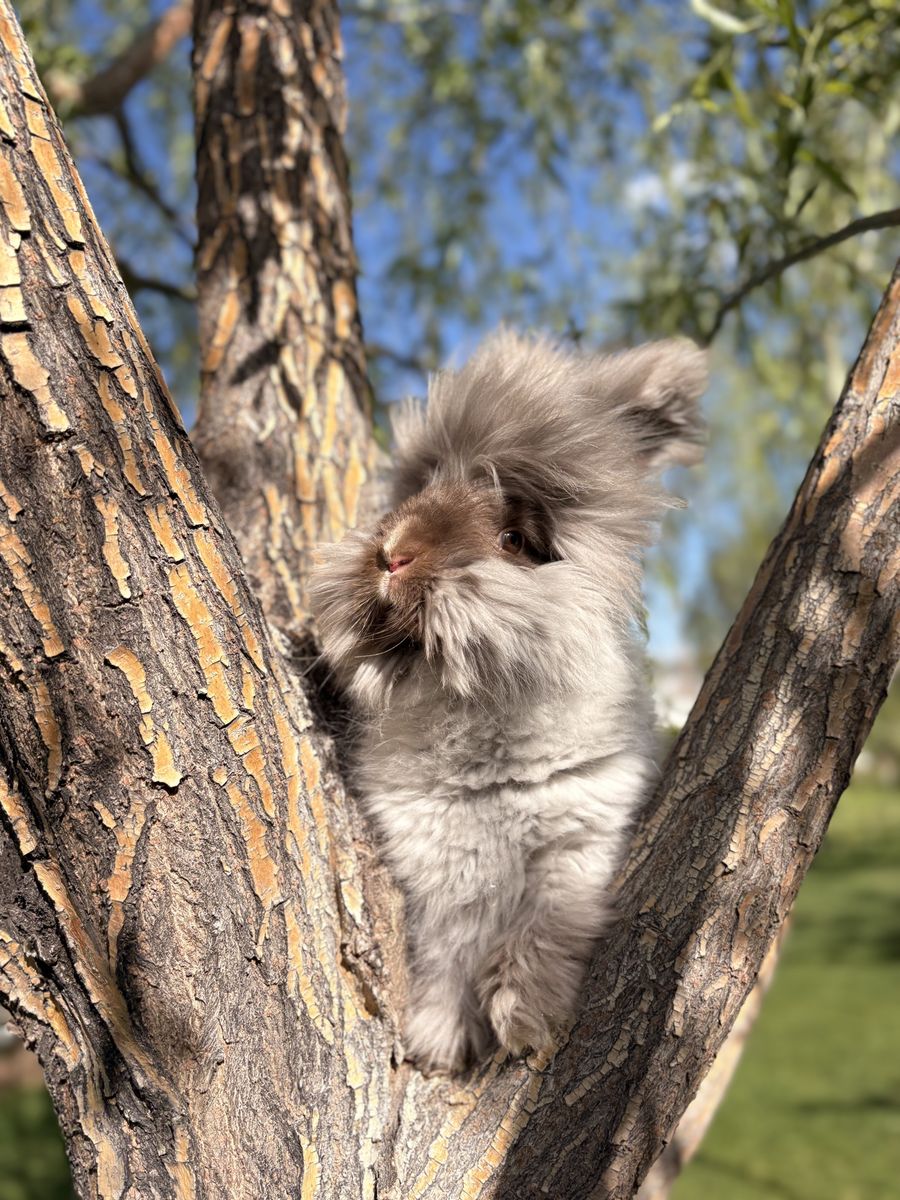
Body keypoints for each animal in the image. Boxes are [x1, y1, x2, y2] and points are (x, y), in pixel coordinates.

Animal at [310, 330, 707, 1073]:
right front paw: (439, 1040)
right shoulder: (442, 877)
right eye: (423, 488)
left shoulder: (579, 842)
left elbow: (549, 923)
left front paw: (525, 1015)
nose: (393, 552)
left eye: (513, 541)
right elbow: (452, 952)